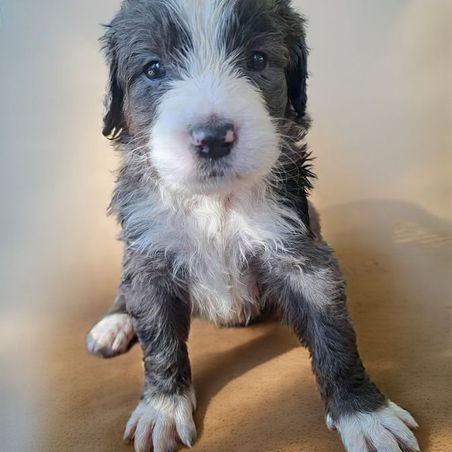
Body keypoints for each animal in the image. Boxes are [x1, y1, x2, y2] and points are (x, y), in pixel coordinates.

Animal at [86, 1, 420, 451]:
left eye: (258, 60)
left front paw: (366, 414)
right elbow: (159, 338)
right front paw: (162, 409)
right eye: (153, 69)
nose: (213, 138)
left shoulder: (300, 251)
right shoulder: (150, 250)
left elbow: (333, 334)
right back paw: (114, 322)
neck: (215, 202)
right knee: (127, 288)